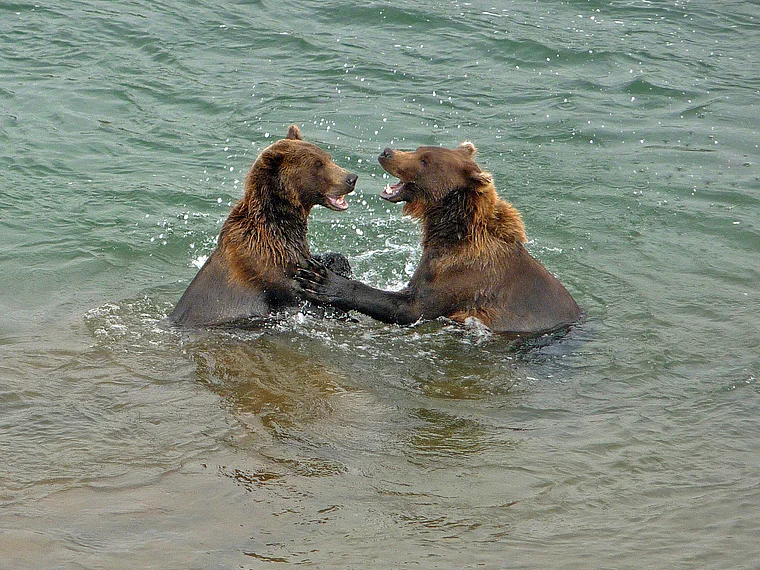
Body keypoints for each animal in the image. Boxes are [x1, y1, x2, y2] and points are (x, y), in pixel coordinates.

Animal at [294, 141, 581, 336]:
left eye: (425, 160)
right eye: (419, 149)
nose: (387, 152)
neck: (452, 232)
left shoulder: (463, 275)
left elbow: (409, 307)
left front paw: (322, 279)